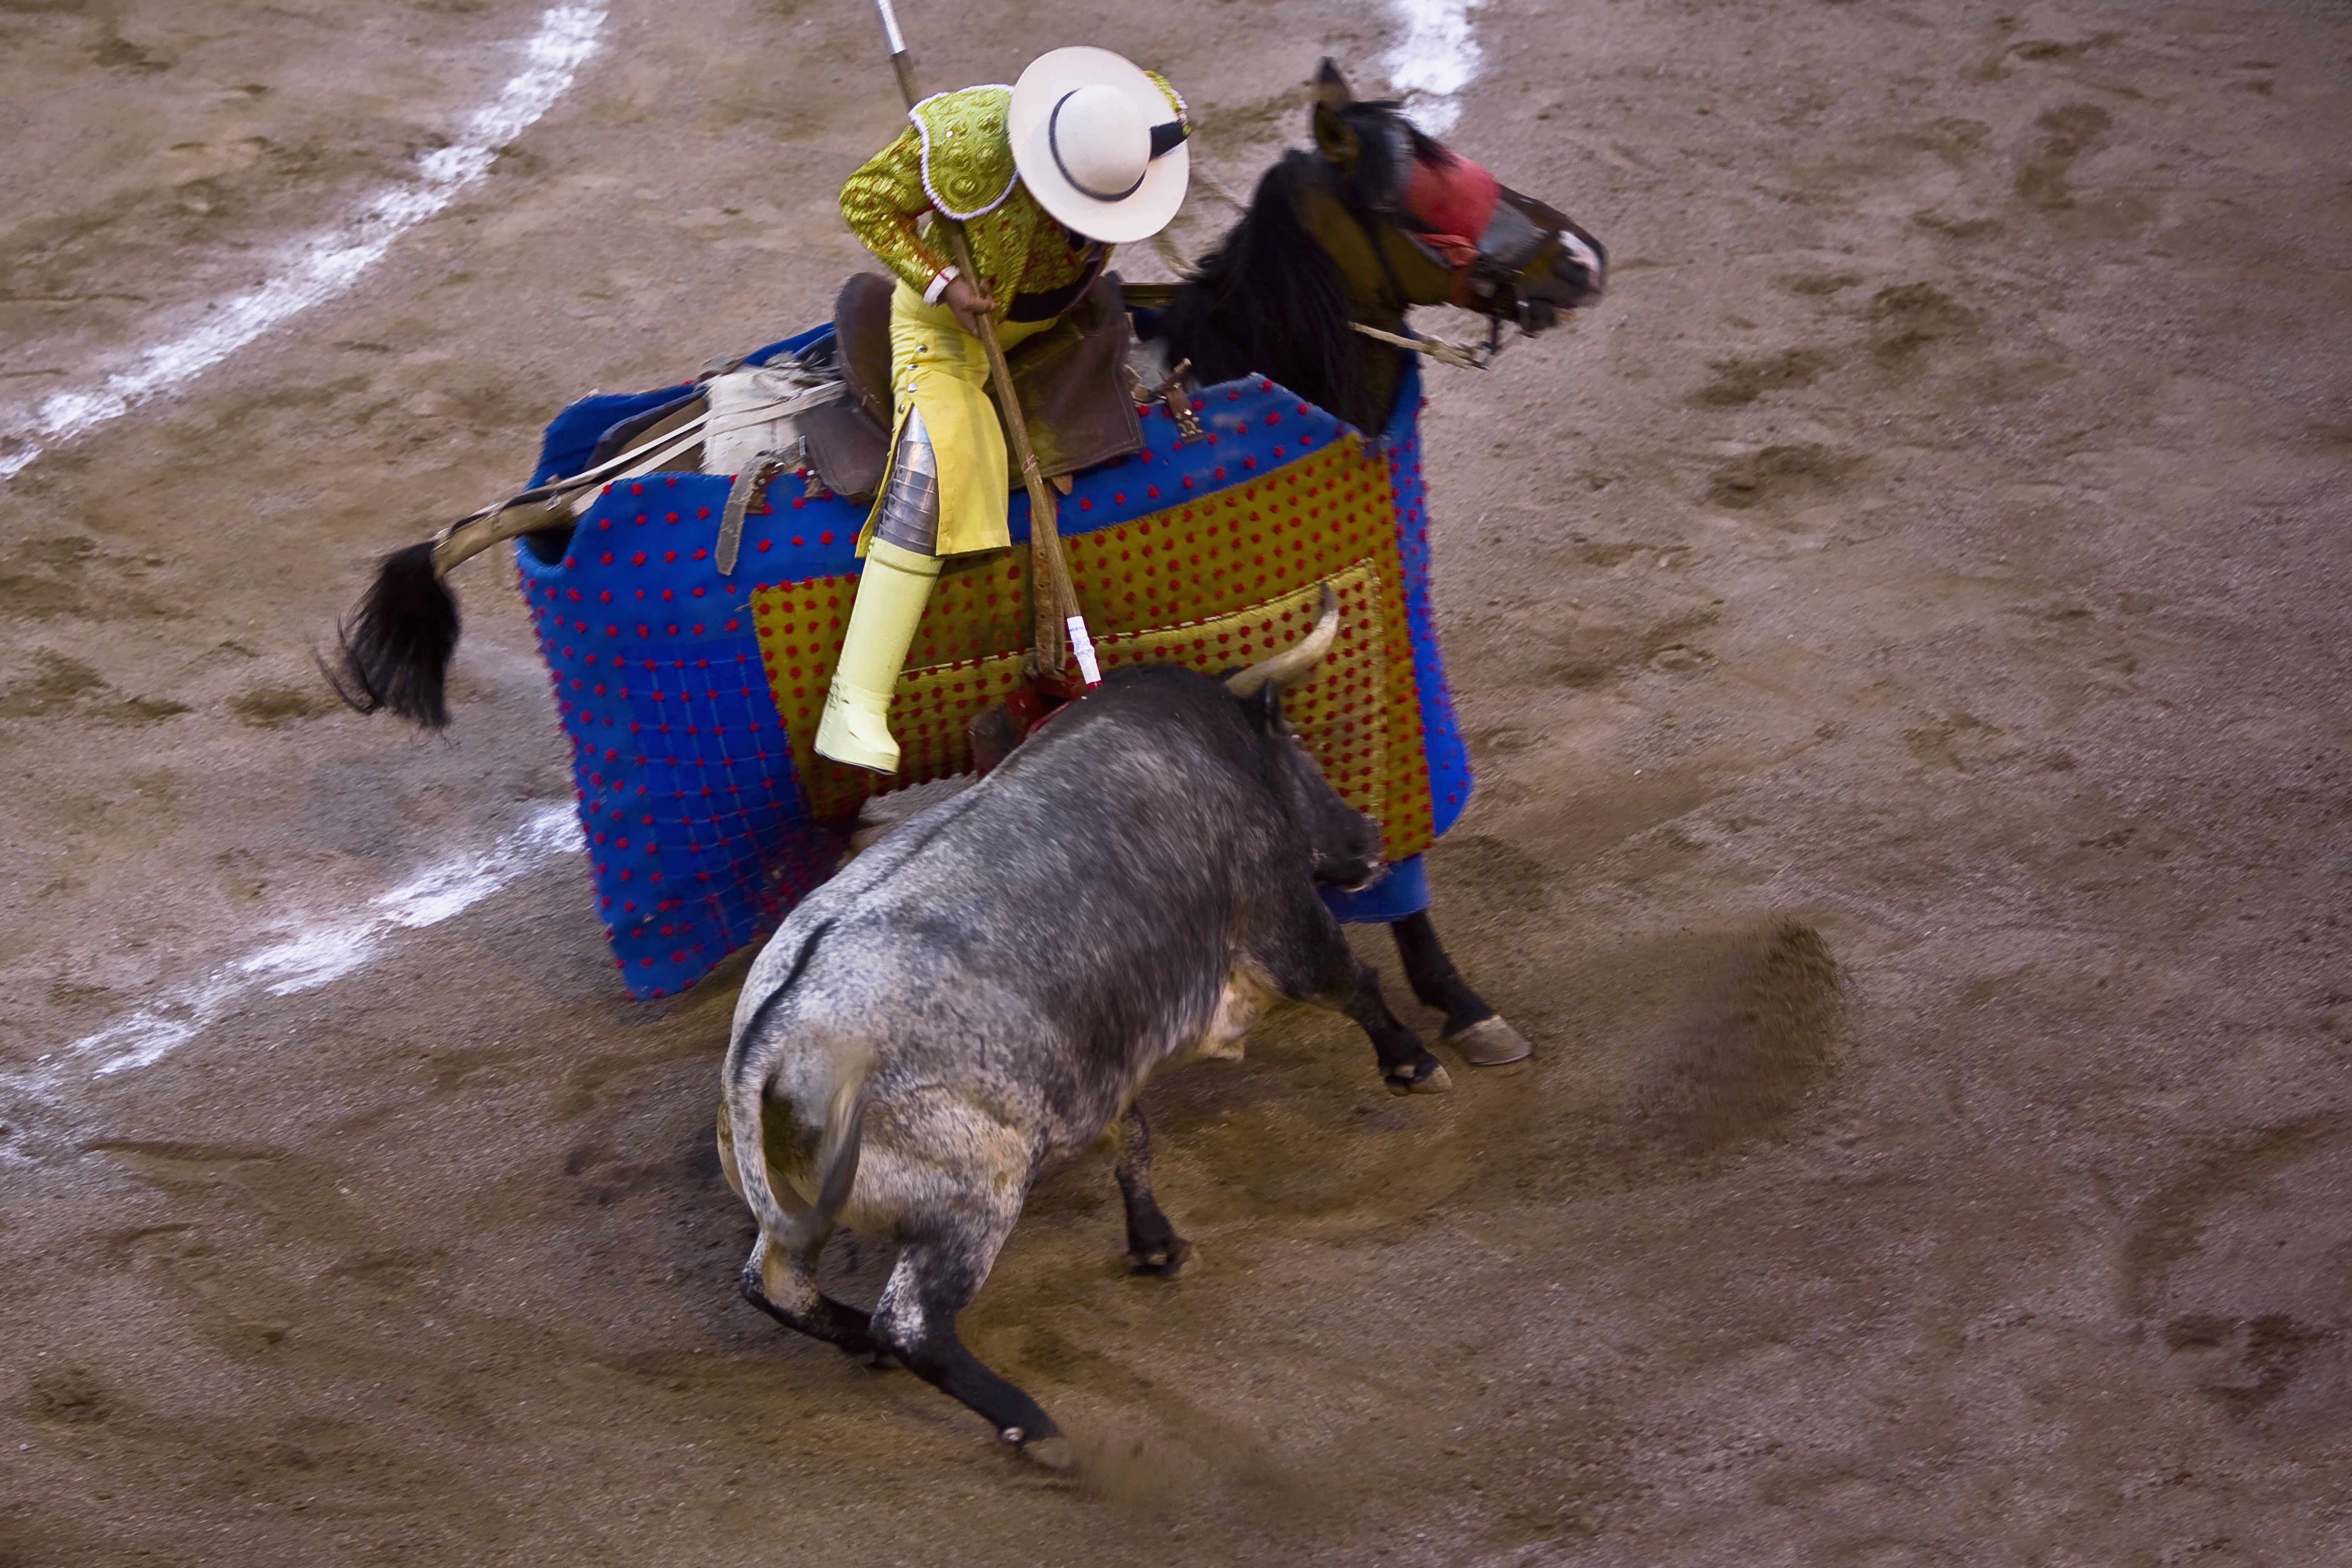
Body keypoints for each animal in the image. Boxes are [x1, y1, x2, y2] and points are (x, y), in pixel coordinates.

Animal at [719, 589, 1450, 1469]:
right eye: (1298, 745)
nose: (1370, 838)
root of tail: (768, 1044)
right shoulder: (1283, 924)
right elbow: (1352, 985)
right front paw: (1412, 1062)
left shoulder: (1100, 1067)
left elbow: (1132, 1144)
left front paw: (1156, 1244)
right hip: (976, 1197)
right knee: (916, 1324)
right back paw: (1031, 1427)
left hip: (812, 1211)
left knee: (778, 1285)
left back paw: (860, 1340)